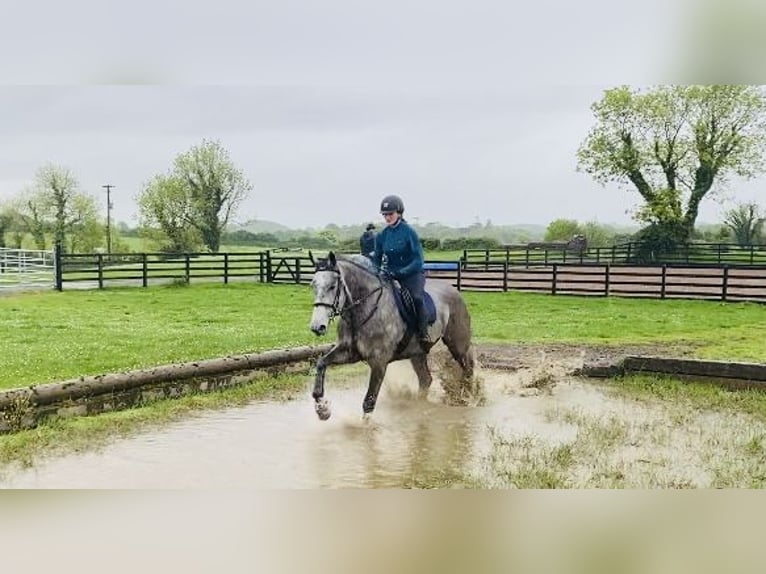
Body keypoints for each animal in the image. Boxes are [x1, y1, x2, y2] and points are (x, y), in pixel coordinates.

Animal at [308, 254, 476, 420]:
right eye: (313, 285)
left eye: (332, 286)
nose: (317, 327)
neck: (364, 310)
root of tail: (455, 291)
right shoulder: (349, 352)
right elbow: (321, 363)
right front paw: (322, 409)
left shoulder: (379, 363)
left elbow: (369, 403)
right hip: (417, 353)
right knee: (425, 379)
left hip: (457, 344)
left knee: (467, 369)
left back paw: (466, 398)